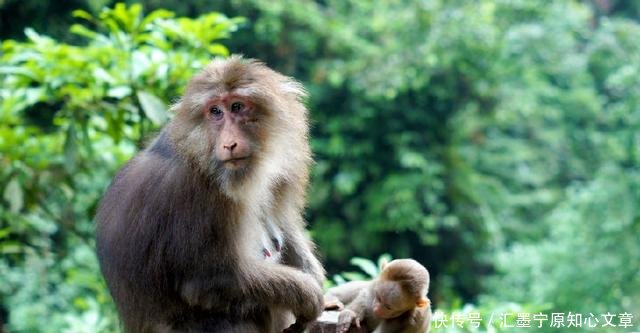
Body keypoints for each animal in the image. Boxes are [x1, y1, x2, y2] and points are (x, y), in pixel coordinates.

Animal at [96, 55, 324, 330]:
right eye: (215, 111)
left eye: (237, 106)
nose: (229, 143)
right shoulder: (196, 199)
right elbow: (206, 283)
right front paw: (307, 294)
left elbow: (286, 229)